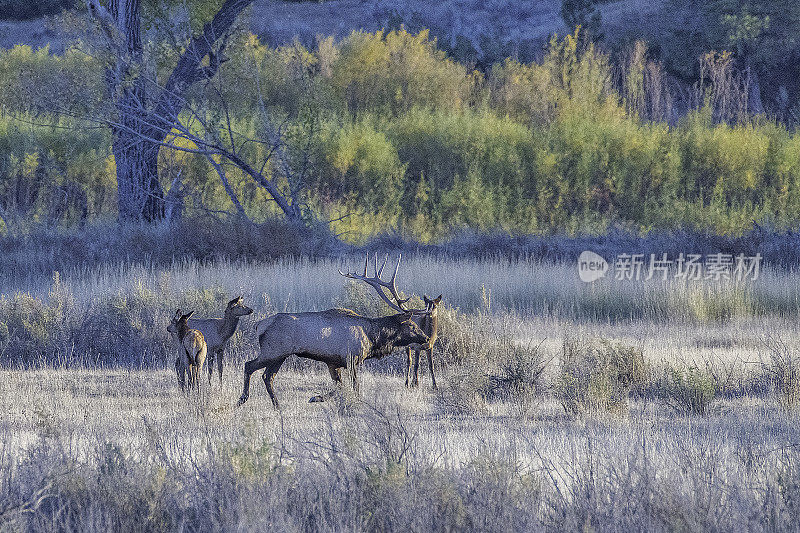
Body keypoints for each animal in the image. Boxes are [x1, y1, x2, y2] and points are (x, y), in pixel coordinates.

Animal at [238, 254, 432, 408]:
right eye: (412, 325)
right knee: (249, 366)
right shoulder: (351, 358)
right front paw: (319, 398)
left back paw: (277, 405)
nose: (426, 338)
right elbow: (354, 387)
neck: (372, 338)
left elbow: (340, 386)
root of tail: (258, 325)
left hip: (280, 355)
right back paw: (243, 399)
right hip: (273, 350)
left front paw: (318, 397)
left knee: (267, 376)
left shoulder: (333, 363)